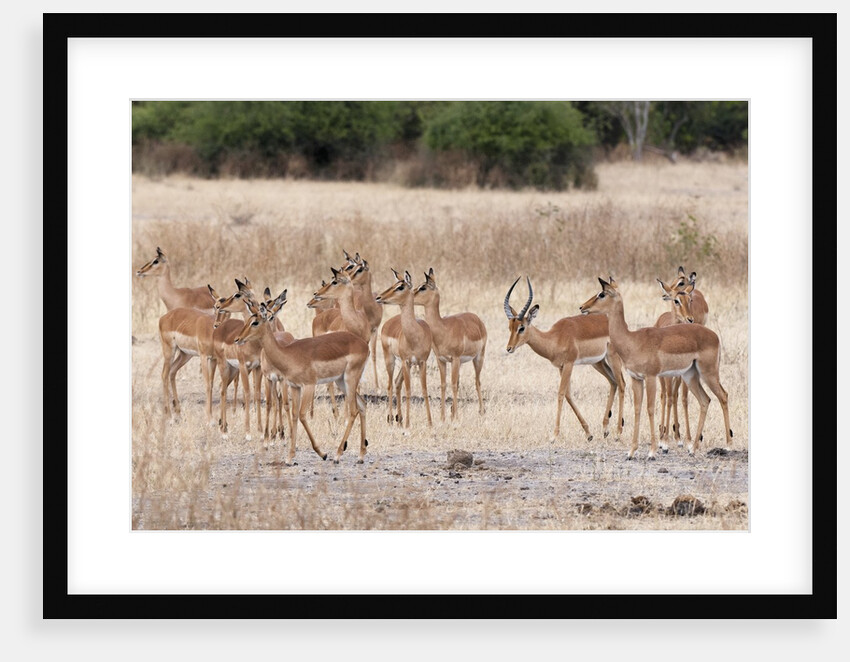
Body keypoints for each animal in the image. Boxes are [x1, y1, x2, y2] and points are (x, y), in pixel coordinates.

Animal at [234, 290, 370, 465]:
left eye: (255, 322)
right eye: (248, 320)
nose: (237, 339)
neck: (288, 355)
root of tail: (364, 345)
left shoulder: (309, 385)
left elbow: (302, 415)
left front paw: (322, 453)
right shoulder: (294, 386)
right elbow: (293, 414)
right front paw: (290, 457)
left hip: (350, 378)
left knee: (353, 410)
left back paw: (337, 455)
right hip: (341, 382)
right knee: (362, 404)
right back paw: (360, 456)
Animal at [375, 270, 433, 428]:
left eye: (400, 287)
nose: (378, 297)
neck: (415, 335)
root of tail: (388, 322)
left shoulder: (421, 362)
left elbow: (424, 390)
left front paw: (430, 423)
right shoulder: (406, 362)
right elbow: (408, 391)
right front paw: (408, 424)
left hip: (403, 364)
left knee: (396, 383)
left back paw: (398, 419)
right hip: (390, 360)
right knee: (390, 385)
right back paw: (390, 419)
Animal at [413, 268, 487, 422]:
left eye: (423, 287)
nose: (410, 295)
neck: (443, 328)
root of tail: (477, 319)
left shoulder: (455, 358)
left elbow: (452, 385)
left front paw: (456, 418)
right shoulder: (441, 360)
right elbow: (443, 385)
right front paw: (443, 417)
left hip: (478, 358)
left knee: (477, 381)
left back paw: (482, 411)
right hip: (460, 363)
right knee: (459, 383)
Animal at [504, 277, 625, 442]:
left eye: (521, 327)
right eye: (510, 327)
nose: (509, 348)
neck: (555, 338)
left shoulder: (569, 364)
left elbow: (561, 394)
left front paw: (554, 436)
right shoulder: (560, 367)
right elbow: (568, 394)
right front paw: (589, 433)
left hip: (612, 358)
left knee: (622, 383)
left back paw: (618, 432)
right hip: (598, 362)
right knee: (613, 382)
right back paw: (605, 429)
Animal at [580, 277, 732, 460]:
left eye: (601, 294)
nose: (582, 307)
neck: (632, 340)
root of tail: (714, 336)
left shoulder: (651, 377)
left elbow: (650, 409)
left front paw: (653, 451)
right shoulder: (636, 379)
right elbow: (637, 409)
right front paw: (631, 452)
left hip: (708, 373)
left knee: (723, 396)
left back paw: (728, 446)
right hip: (690, 376)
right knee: (705, 400)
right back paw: (693, 449)